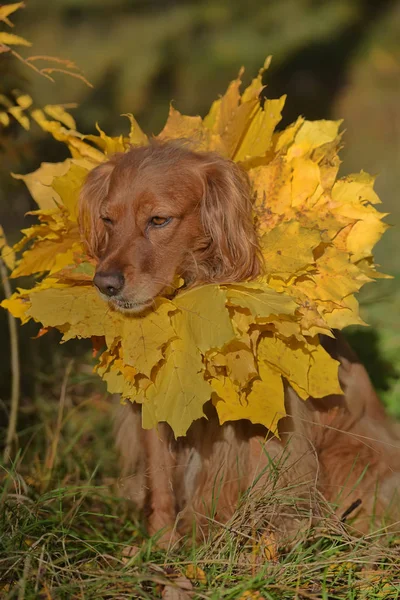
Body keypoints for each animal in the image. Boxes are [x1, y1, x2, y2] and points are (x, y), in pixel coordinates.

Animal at [79, 143, 400, 548]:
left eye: (158, 220)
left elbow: (266, 485)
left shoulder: (268, 415)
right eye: (107, 219)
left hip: (356, 456)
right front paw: (161, 547)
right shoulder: (154, 404)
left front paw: (258, 549)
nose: (104, 284)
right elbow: (160, 482)